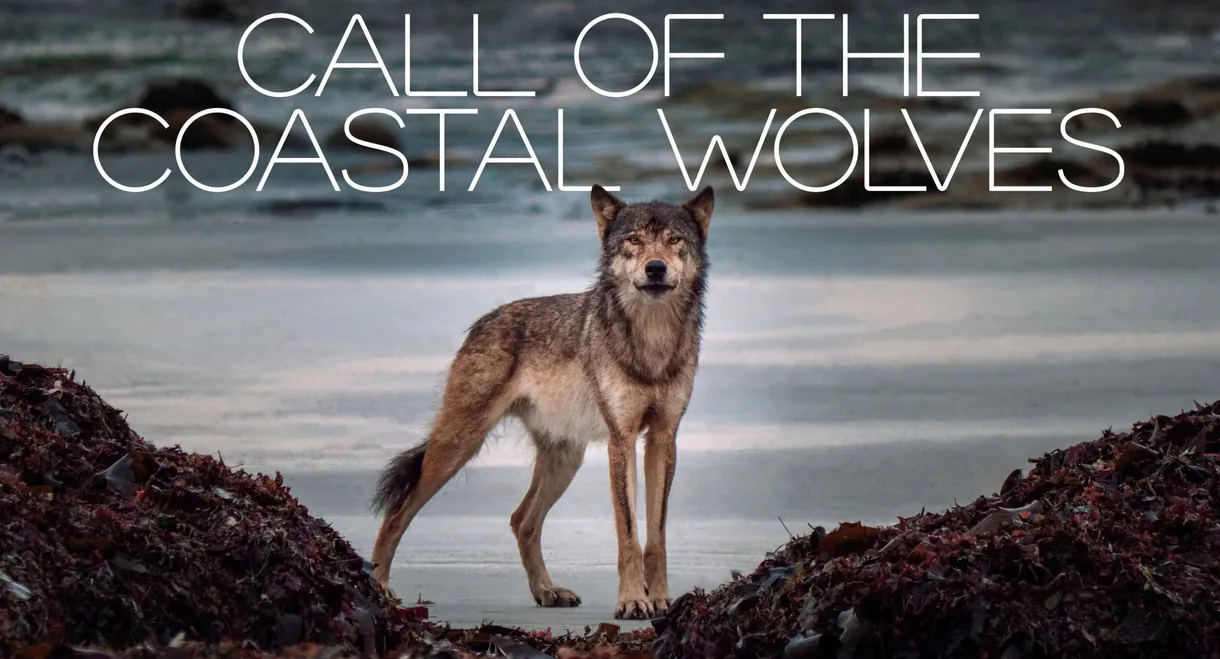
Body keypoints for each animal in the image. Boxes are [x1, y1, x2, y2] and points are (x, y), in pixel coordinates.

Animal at [369, 185, 714, 620]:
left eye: (674, 240)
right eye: (634, 240)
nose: (655, 268)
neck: (652, 340)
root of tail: (482, 322)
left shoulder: (662, 438)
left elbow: (656, 536)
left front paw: (662, 599)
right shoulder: (621, 440)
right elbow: (629, 535)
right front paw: (633, 600)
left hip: (564, 460)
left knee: (522, 520)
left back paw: (547, 591)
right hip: (457, 447)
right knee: (396, 515)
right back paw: (378, 588)